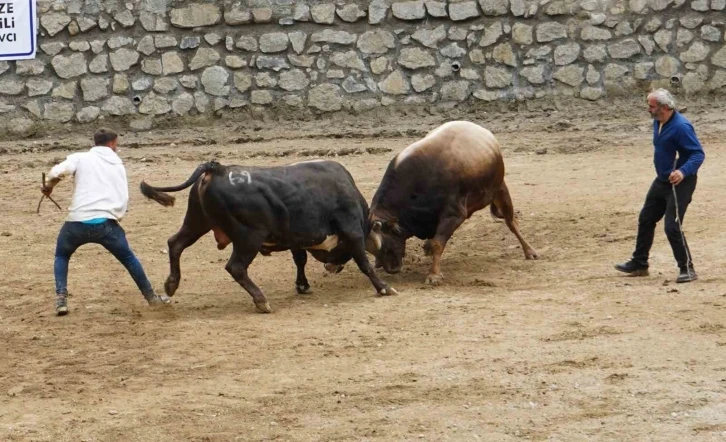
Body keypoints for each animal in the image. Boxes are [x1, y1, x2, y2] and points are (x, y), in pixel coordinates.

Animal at [366, 121, 536, 284]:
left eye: (386, 245)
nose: (391, 269)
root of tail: (484, 133)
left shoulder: (454, 215)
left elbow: (437, 243)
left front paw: (434, 275)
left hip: (500, 188)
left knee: (511, 222)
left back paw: (529, 251)